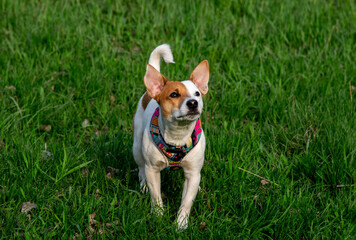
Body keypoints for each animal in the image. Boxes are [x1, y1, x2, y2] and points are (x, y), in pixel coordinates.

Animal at [133, 44, 209, 230]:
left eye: (197, 94)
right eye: (174, 94)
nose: (193, 103)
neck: (178, 135)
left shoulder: (193, 173)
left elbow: (186, 201)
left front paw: (180, 224)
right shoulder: (153, 170)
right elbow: (156, 196)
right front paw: (158, 217)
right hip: (137, 146)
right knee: (141, 168)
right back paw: (143, 185)